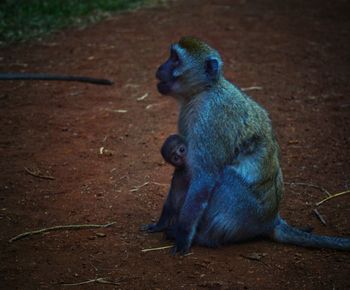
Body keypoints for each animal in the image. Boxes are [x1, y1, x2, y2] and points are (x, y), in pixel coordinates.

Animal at [153, 36, 350, 254]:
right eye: (171, 56)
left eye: (175, 59)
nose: (160, 67)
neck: (204, 91)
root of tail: (271, 220)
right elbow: (185, 171)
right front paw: (162, 223)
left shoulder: (210, 119)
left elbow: (204, 176)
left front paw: (183, 235)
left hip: (246, 213)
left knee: (226, 177)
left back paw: (203, 238)